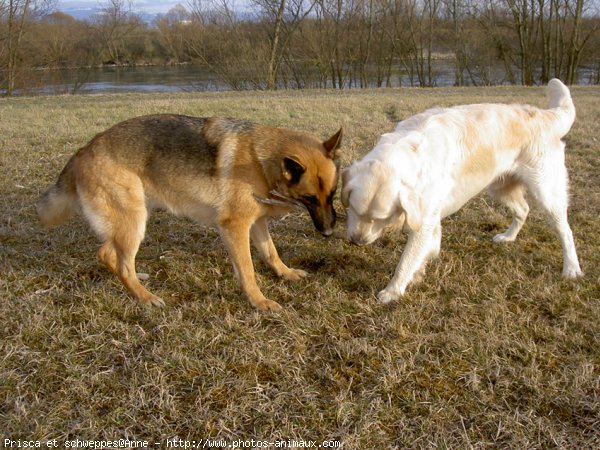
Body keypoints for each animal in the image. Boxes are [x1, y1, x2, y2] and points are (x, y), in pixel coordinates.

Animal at [342, 79, 580, 304]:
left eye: (381, 218)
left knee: (565, 231)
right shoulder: (429, 216)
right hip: (499, 187)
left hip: (547, 192)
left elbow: (406, 260)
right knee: (523, 209)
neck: (412, 154)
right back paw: (508, 237)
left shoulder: (423, 221)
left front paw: (392, 291)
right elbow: (427, 248)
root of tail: (544, 115)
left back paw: (571, 269)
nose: (357, 241)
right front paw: (420, 271)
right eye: (352, 209)